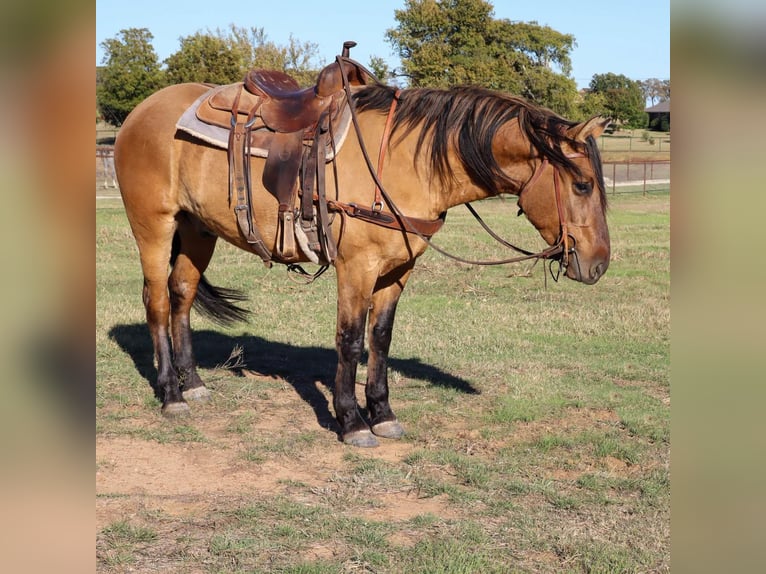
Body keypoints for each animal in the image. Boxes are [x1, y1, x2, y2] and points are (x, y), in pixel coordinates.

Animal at [114, 45, 612, 450]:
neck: (405, 161)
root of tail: (141, 112)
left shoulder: (397, 269)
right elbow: (350, 339)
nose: (599, 265)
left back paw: (194, 383)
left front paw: (383, 414)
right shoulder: (357, 266)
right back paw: (172, 395)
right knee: (157, 301)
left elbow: (381, 338)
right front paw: (351, 421)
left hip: (198, 230)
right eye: (583, 185)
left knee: (181, 295)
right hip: (154, 226)